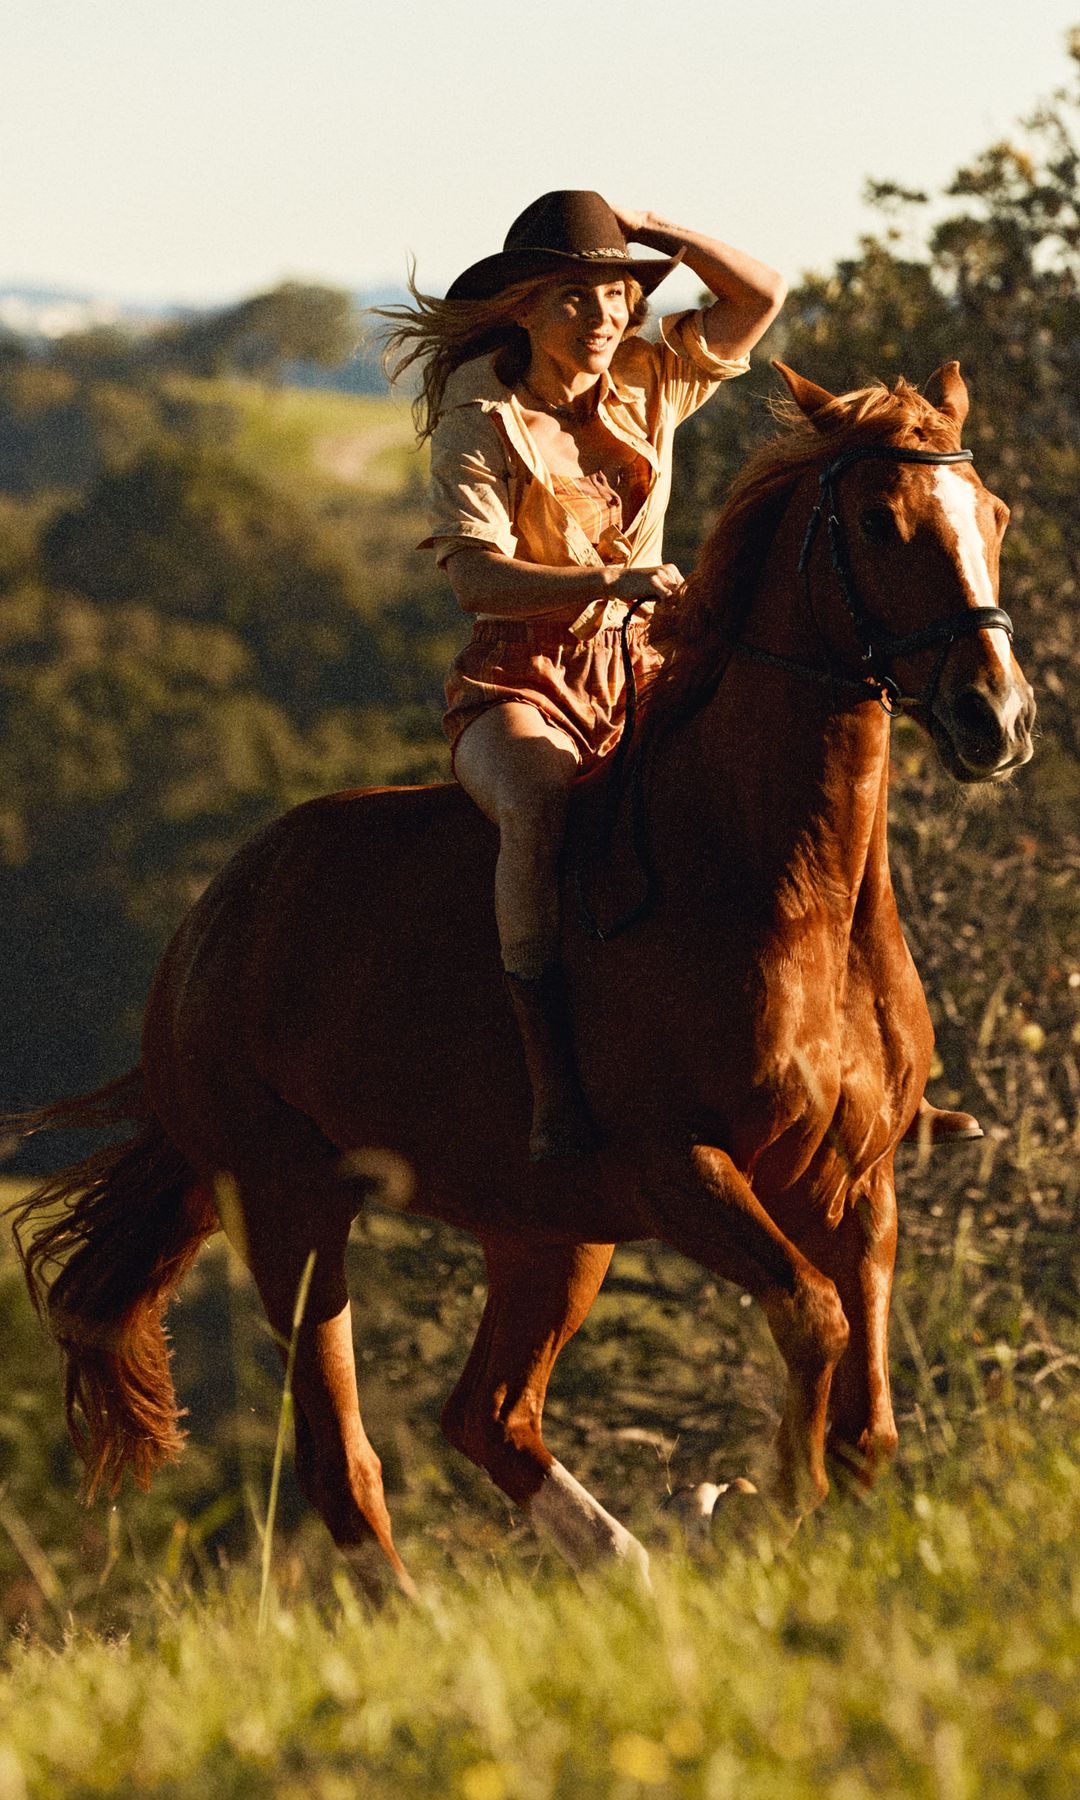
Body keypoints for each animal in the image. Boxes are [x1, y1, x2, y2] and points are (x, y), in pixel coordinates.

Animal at [7, 360, 1035, 1598]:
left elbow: (867, 1419)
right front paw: (763, 1513)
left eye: (994, 517)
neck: (783, 892)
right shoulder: (687, 1169)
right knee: (345, 1463)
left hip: (547, 1234)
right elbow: (816, 1323)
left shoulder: (854, 1179)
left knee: (485, 1415)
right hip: (296, 1219)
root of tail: (208, 925)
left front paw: (762, 1512)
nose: (998, 719)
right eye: (882, 523)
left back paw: (630, 1564)